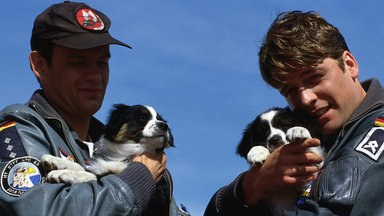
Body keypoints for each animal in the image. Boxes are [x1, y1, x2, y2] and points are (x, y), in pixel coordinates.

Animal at [40, 104, 172, 184]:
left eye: (160, 119)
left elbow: (92, 175)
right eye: (141, 118)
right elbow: (83, 167)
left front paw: (63, 173)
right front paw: (55, 160)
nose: (164, 125)